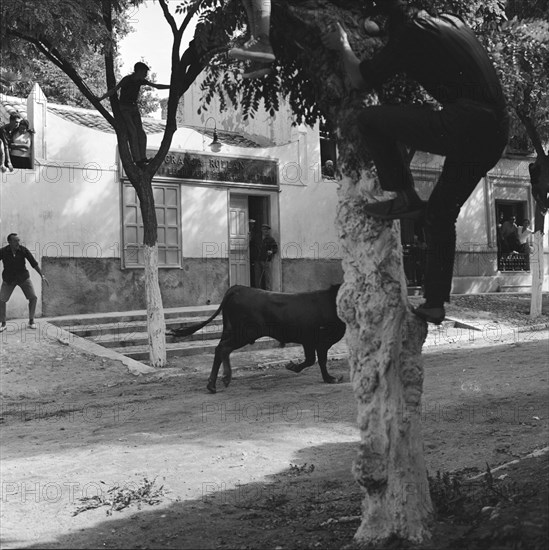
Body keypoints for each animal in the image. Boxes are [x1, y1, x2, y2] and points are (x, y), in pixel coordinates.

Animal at [169, 286, 344, 394]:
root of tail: (239, 288)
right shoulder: (320, 341)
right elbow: (319, 360)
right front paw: (330, 378)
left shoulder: (309, 341)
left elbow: (311, 359)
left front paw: (292, 366)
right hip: (244, 333)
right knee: (223, 348)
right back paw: (223, 379)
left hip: (231, 330)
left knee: (220, 350)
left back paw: (213, 383)